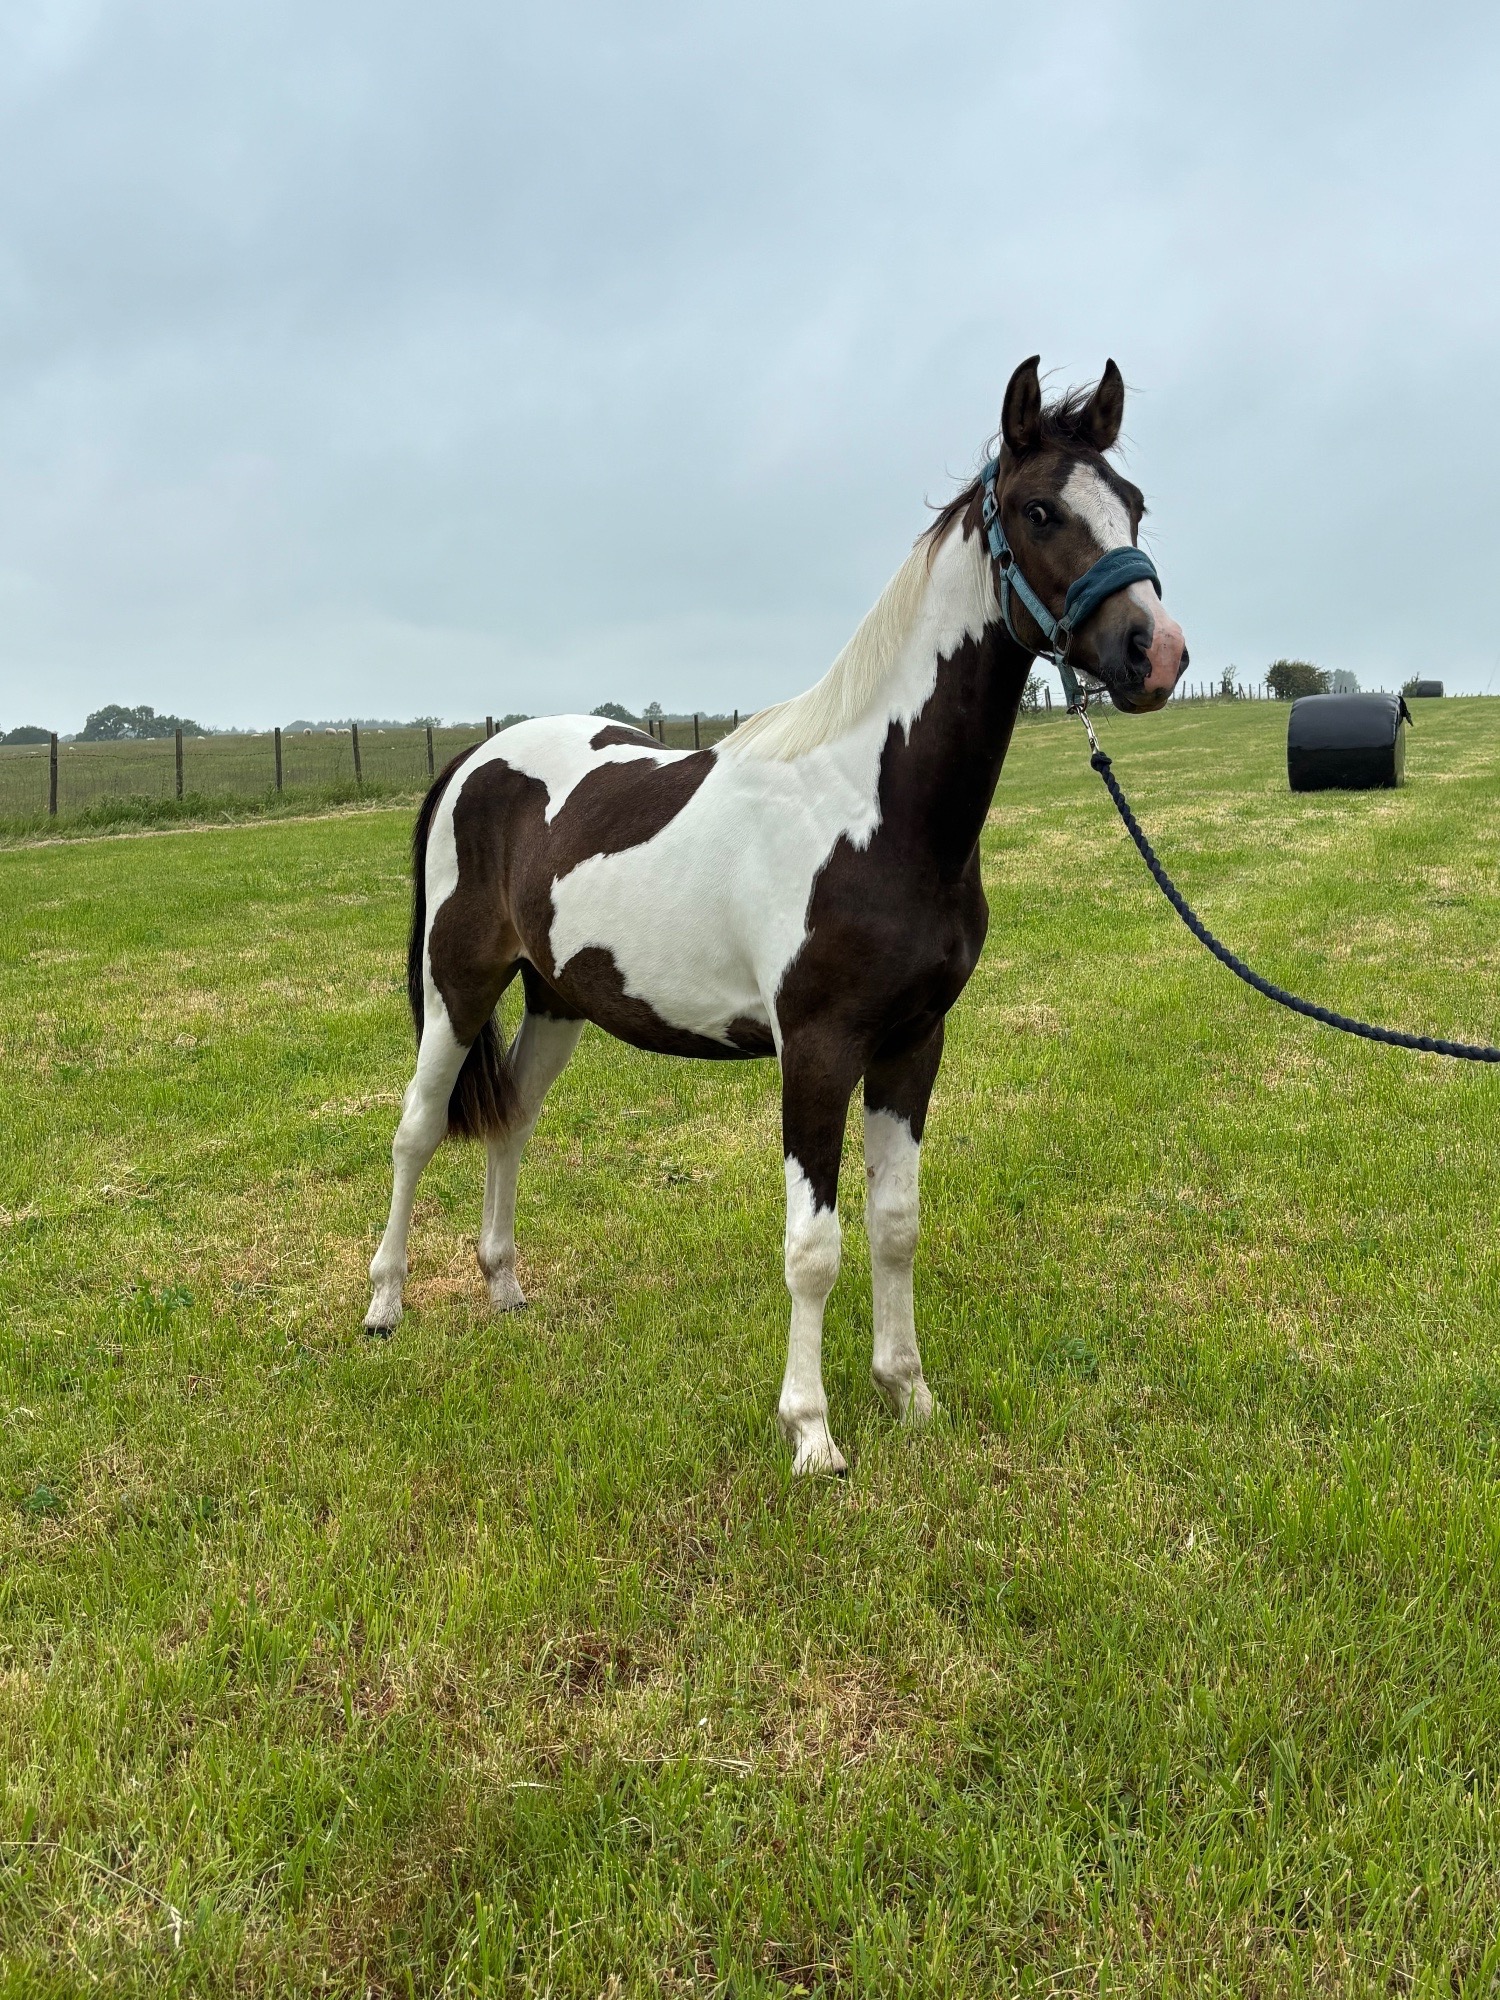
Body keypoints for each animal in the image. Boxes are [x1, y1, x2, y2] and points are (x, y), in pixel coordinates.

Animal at [365, 355, 1188, 1473]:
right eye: (1040, 509)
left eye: (1132, 503)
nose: (1159, 653)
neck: (874, 807)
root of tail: (474, 758)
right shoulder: (820, 1048)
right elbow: (813, 1245)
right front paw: (813, 1433)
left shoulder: (913, 1043)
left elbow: (894, 1224)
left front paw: (908, 1392)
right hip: (459, 982)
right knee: (416, 1128)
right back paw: (385, 1306)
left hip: (557, 999)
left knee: (513, 1123)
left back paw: (505, 1288)